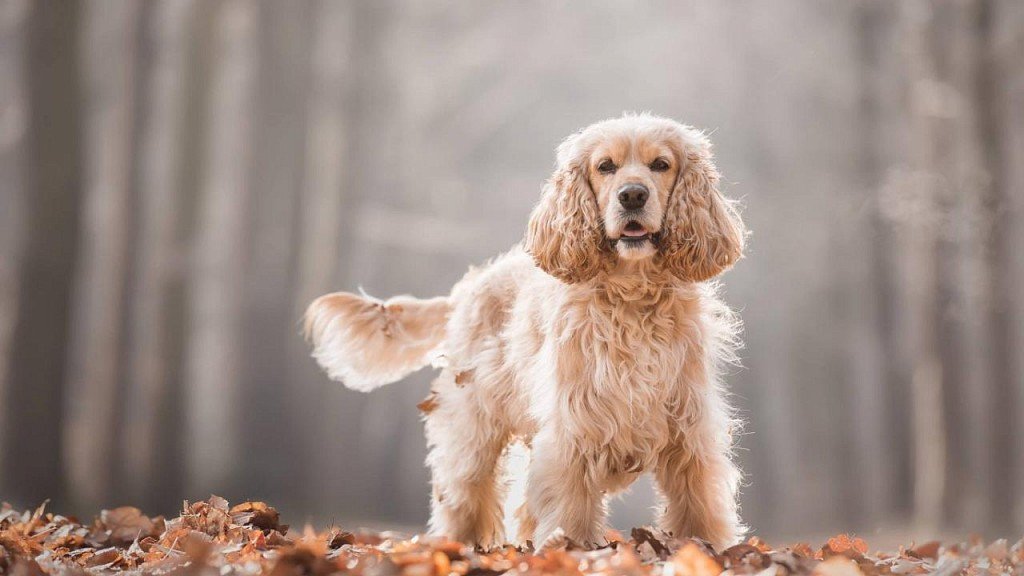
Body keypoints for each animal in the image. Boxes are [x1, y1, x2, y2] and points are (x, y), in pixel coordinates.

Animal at [301, 112, 745, 545]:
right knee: (461, 496)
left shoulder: (689, 427)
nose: (632, 195)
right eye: (605, 166)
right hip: (472, 429)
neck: (632, 296)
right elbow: (570, 506)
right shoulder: (573, 427)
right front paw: (572, 549)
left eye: (661, 165)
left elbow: (698, 507)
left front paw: (706, 550)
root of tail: (467, 288)